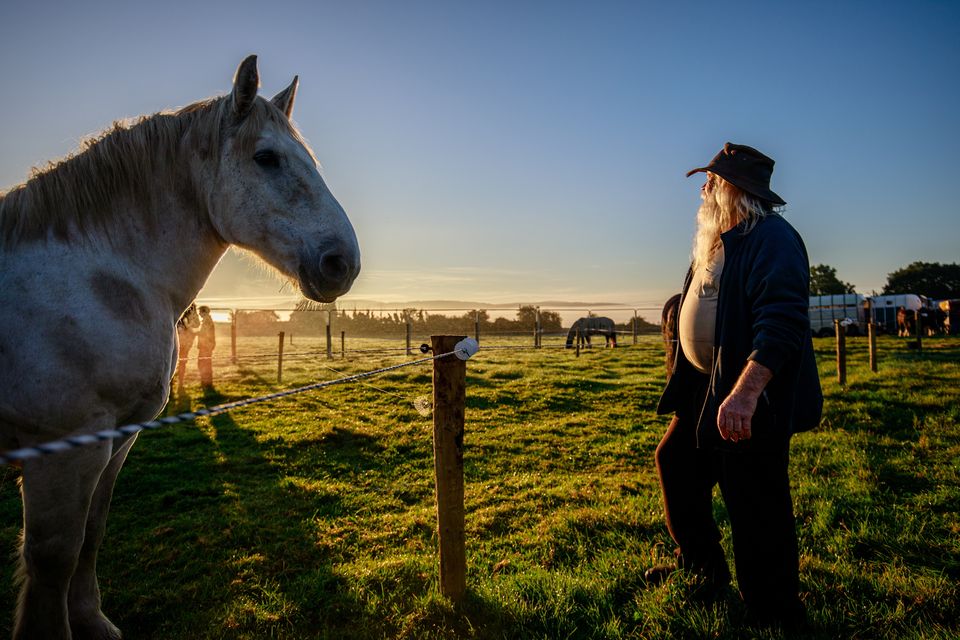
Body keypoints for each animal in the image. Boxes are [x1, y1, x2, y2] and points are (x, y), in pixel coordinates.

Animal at [0, 56, 360, 640]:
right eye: (266, 157)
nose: (342, 262)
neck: (99, 276)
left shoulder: (115, 439)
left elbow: (92, 532)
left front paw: (93, 621)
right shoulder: (63, 448)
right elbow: (52, 558)